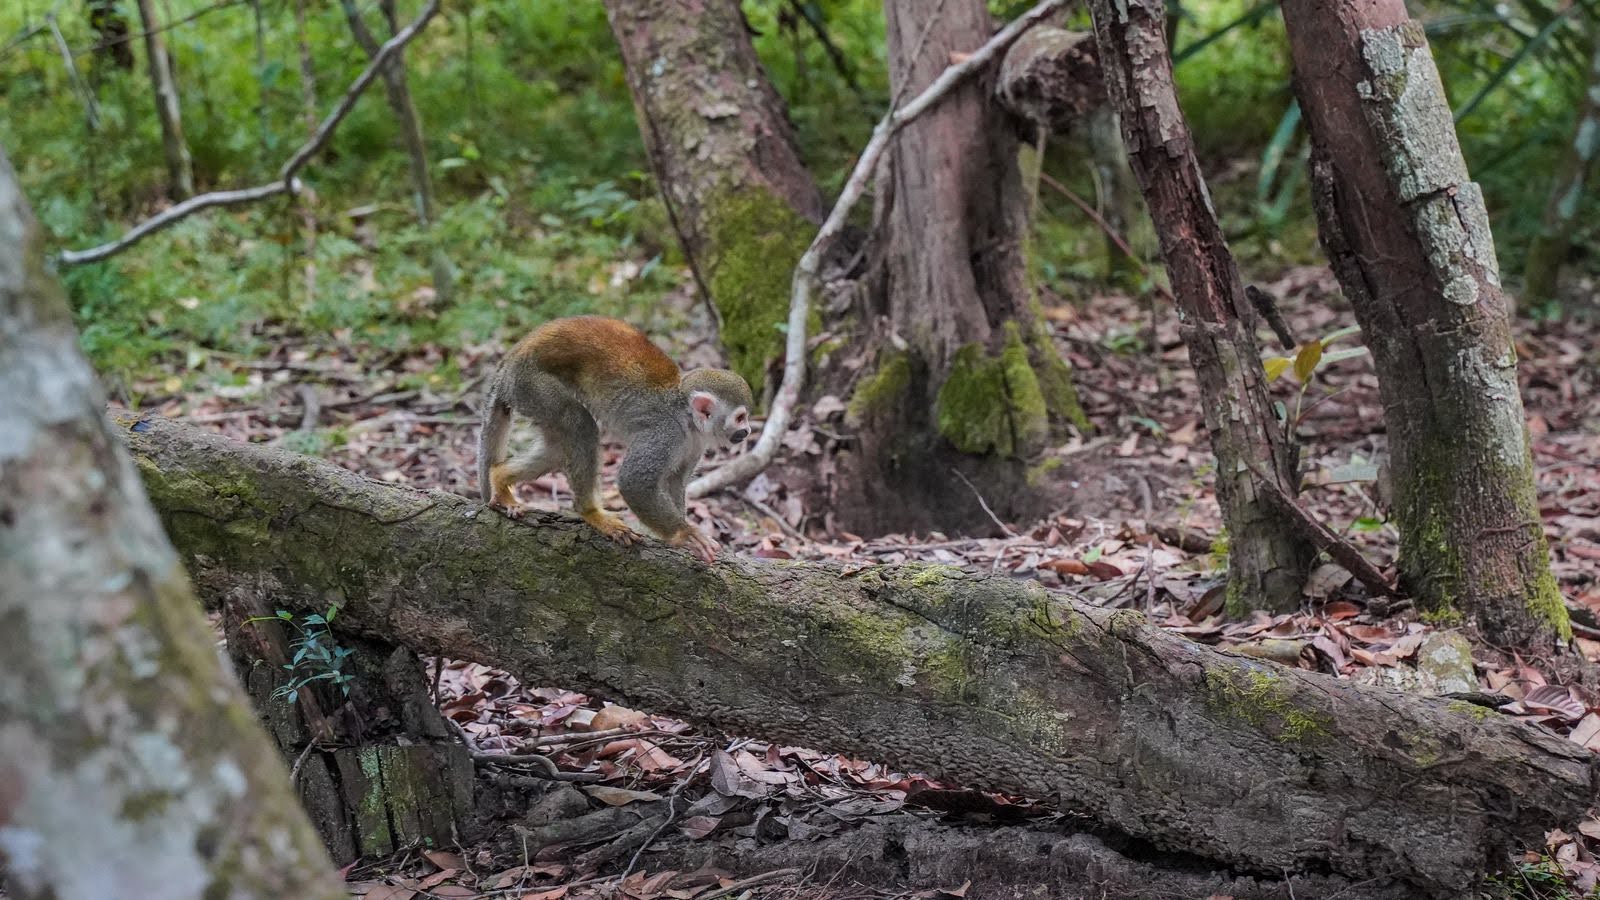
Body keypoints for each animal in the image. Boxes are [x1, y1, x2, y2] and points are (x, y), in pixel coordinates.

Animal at [476, 315, 752, 560]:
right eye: (740, 418)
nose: (748, 431)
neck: (687, 420)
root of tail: (511, 358)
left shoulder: (694, 445)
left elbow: (675, 481)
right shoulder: (664, 434)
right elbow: (633, 482)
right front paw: (684, 534)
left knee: (558, 446)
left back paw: (499, 476)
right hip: (531, 383)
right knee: (580, 424)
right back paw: (591, 512)